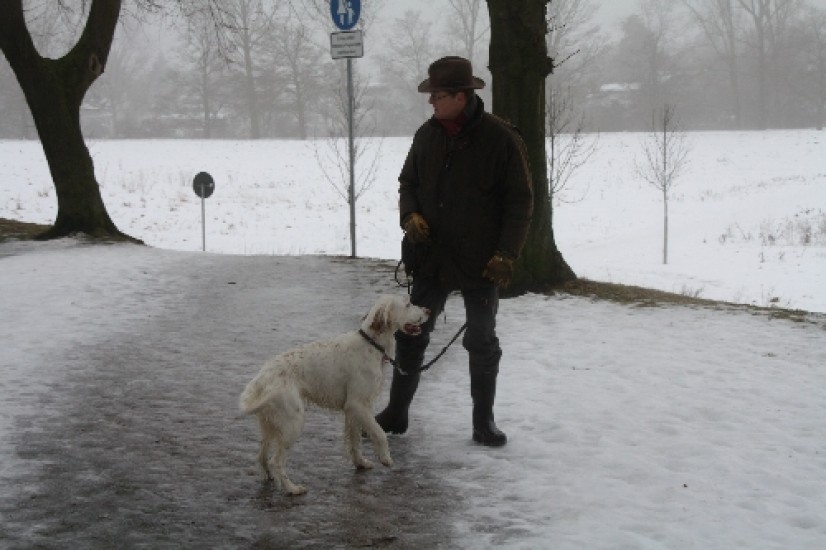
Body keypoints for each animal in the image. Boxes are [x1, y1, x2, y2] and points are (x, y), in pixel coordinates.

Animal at [239, 294, 430, 495]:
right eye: (408, 304)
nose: (428, 310)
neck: (371, 344)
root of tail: (263, 376)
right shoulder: (358, 405)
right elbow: (379, 433)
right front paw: (385, 458)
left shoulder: (353, 410)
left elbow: (355, 442)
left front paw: (360, 463)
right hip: (293, 423)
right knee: (275, 461)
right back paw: (292, 489)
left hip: (271, 426)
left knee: (262, 456)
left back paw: (269, 477)